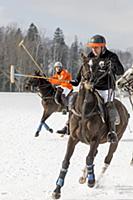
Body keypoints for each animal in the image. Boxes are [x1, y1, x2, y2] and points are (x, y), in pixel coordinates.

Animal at [52, 55, 130, 199]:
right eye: (84, 65)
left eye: (98, 66)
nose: (90, 81)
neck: (84, 110)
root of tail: (125, 109)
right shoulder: (73, 138)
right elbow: (66, 161)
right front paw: (57, 190)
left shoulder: (95, 139)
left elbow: (89, 158)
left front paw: (91, 181)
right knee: (95, 154)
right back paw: (84, 176)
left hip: (116, 140)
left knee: (107, 159)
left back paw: (96, 181)